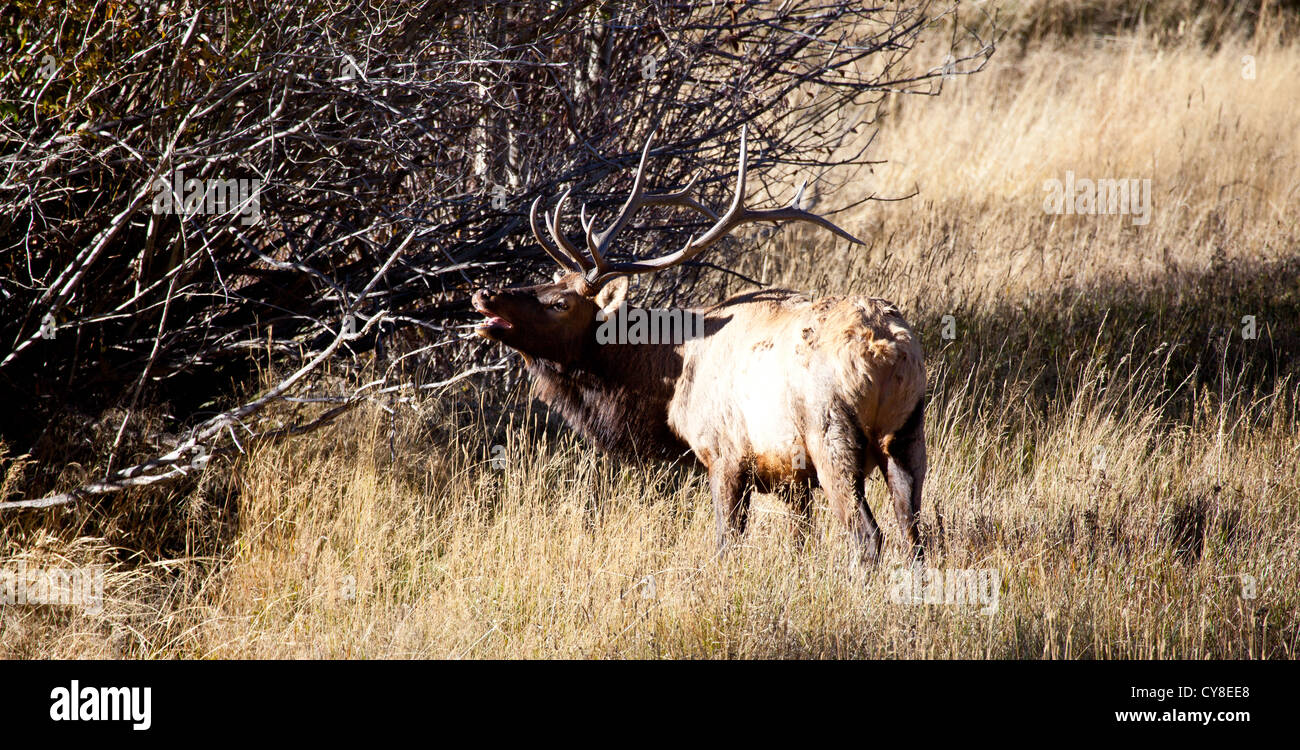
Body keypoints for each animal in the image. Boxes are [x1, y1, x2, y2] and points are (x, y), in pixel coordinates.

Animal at [473, 127, 930, 561]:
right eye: (548, 283)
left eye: (560, 303)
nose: (484, 294)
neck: (667, 381)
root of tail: (887, 354)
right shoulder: (789, 474)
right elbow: (800, 539)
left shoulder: (724, 453)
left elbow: (726, 542)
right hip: (908, 433)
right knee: (913, 532)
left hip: (831, 433)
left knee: (869, 535)